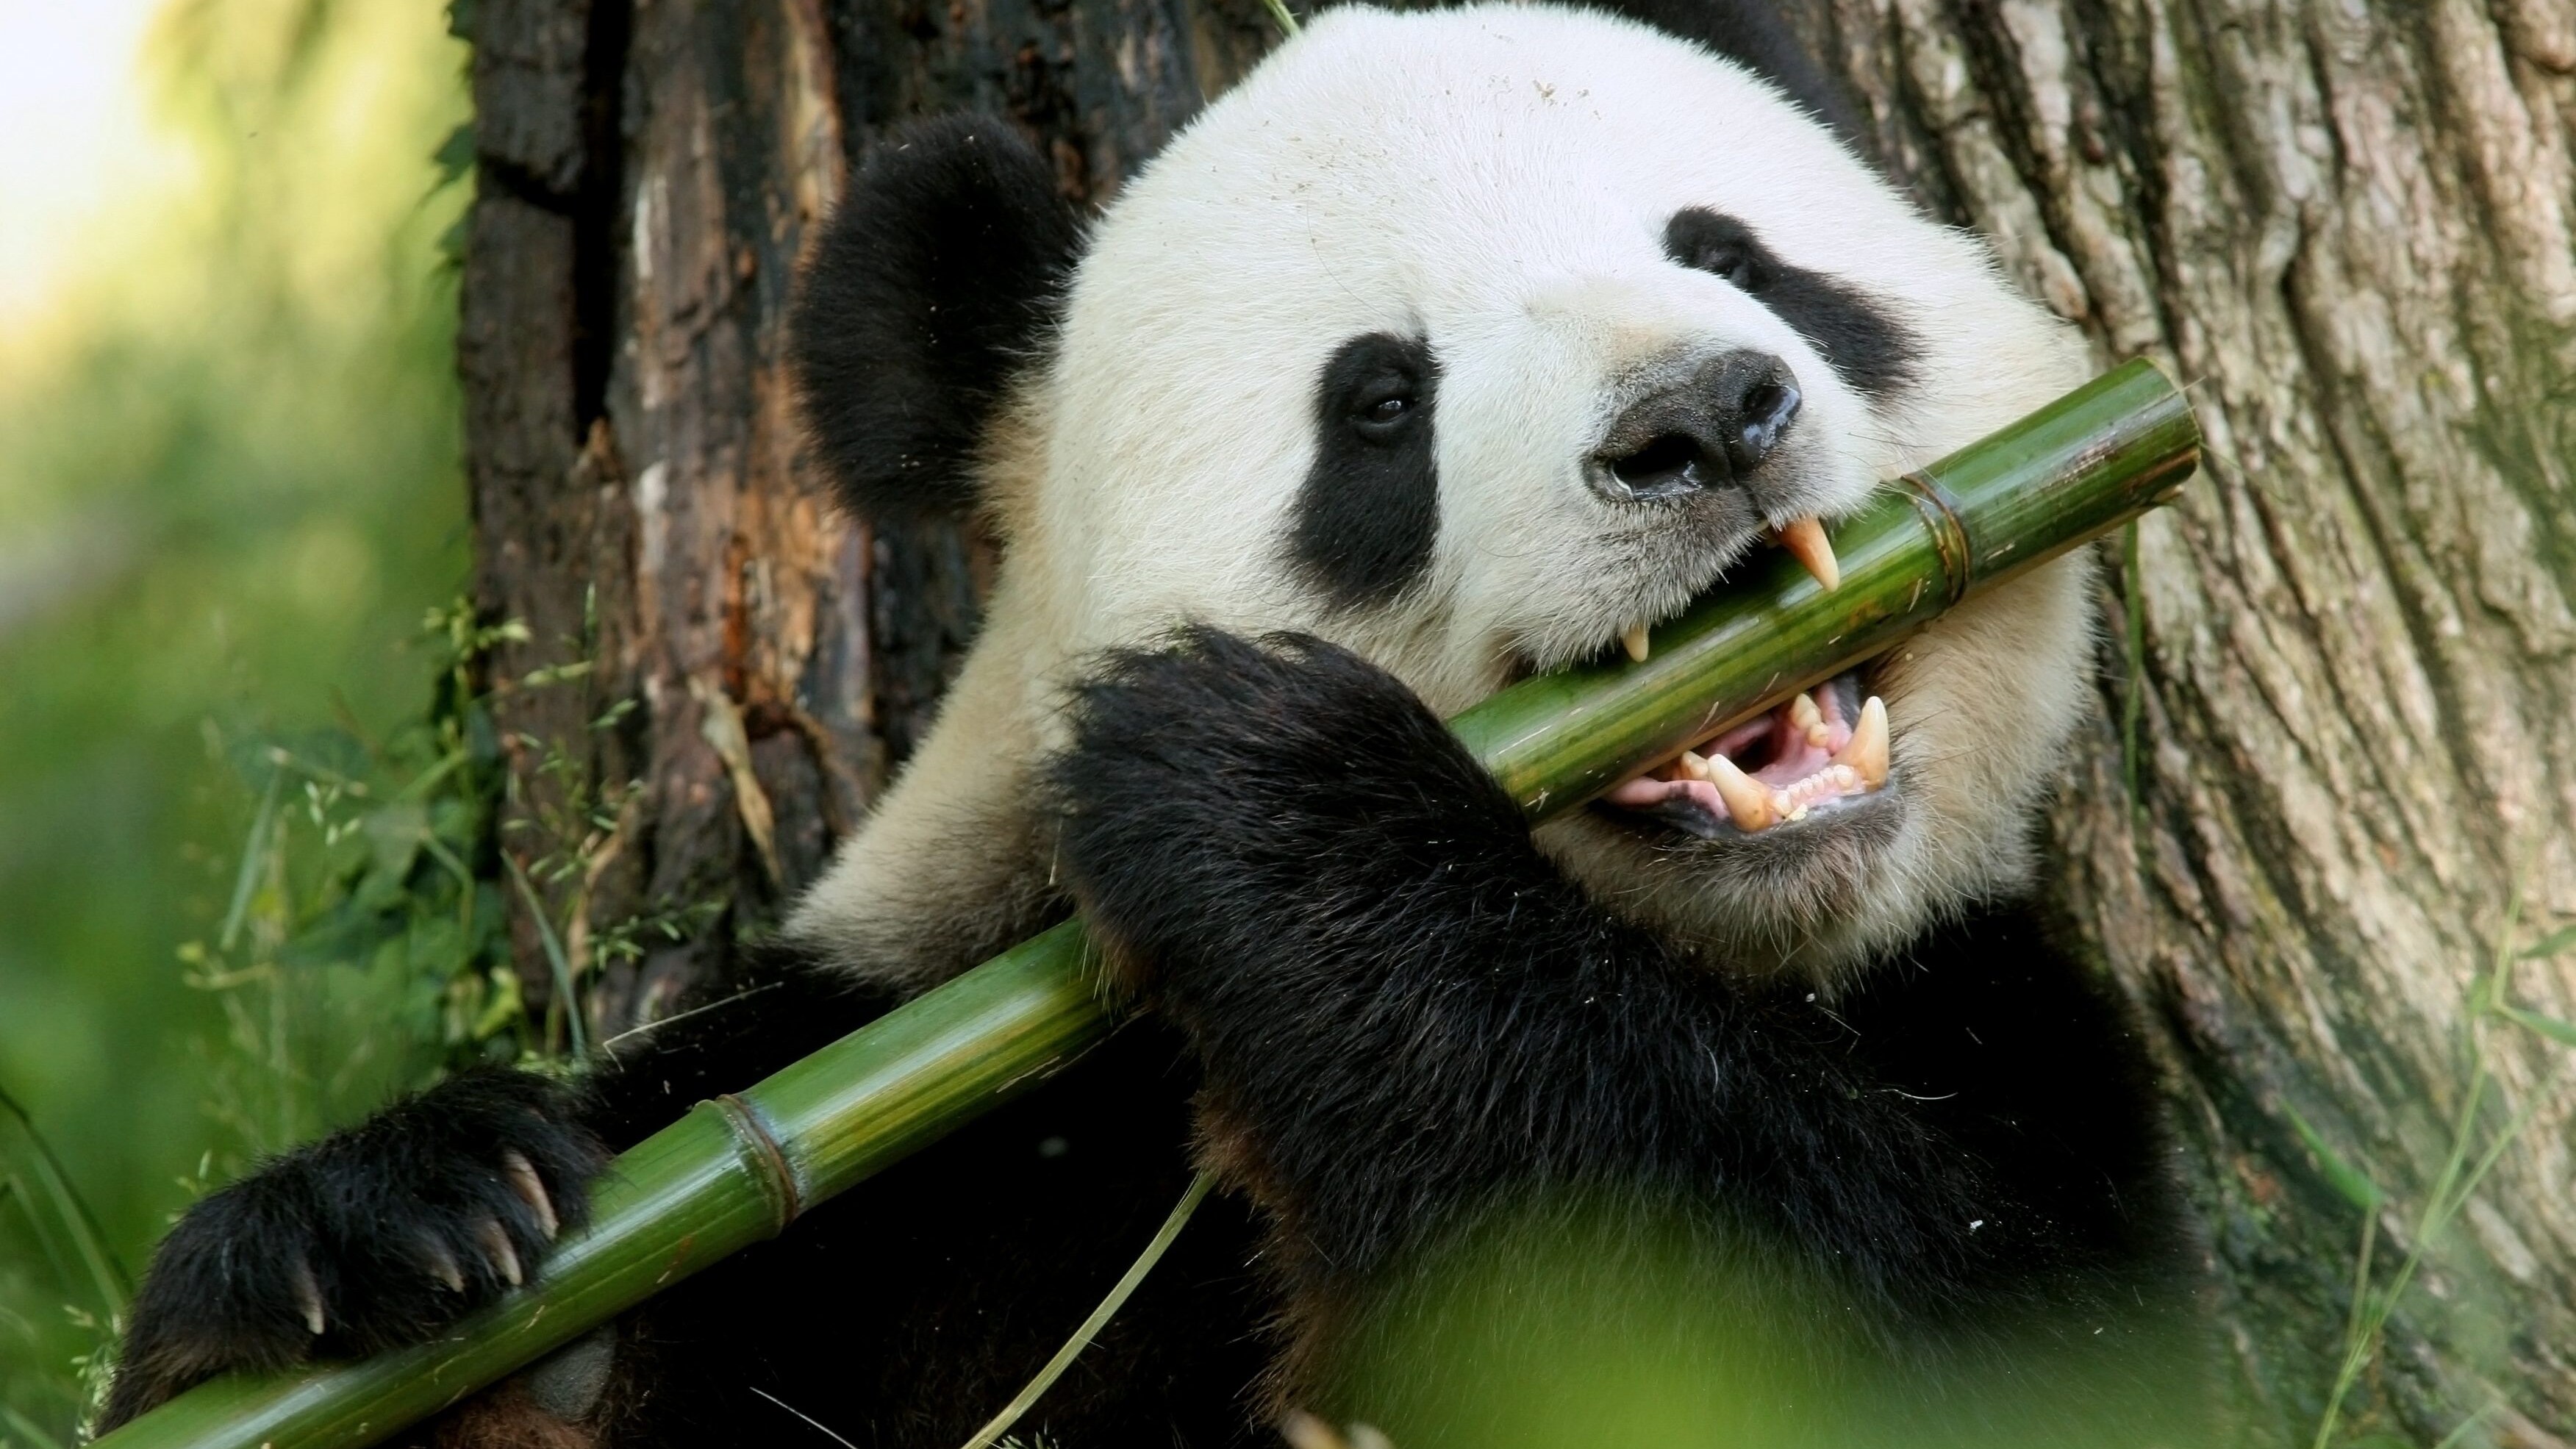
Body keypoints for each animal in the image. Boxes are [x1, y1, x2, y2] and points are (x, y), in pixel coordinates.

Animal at [101, 4, 2205, 1445]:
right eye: (1379, 402)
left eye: (1741, 257)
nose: (1701, 416)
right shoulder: (912, 1121)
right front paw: (385, 1242)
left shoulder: (2001, 1028)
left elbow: (1888, 1333)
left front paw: (1268, 799)